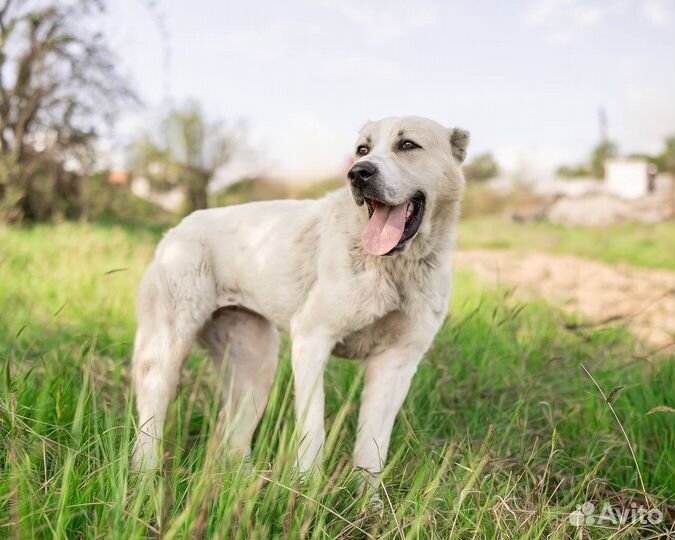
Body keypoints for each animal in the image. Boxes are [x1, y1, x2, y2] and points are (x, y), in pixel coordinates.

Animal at [132, 115, 470, 480]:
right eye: (362, 150)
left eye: (408, 145)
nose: (358, 173)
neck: (395, 268)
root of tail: (177, 229)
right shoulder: (312, 340)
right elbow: (313, 432)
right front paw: (306, 487)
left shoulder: (396, 362)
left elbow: (372, 451)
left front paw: (367, 497)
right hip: (166, 353)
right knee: (150, 423)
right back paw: (145, 481)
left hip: (255, 369)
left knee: (232, 436)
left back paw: (244, 483)